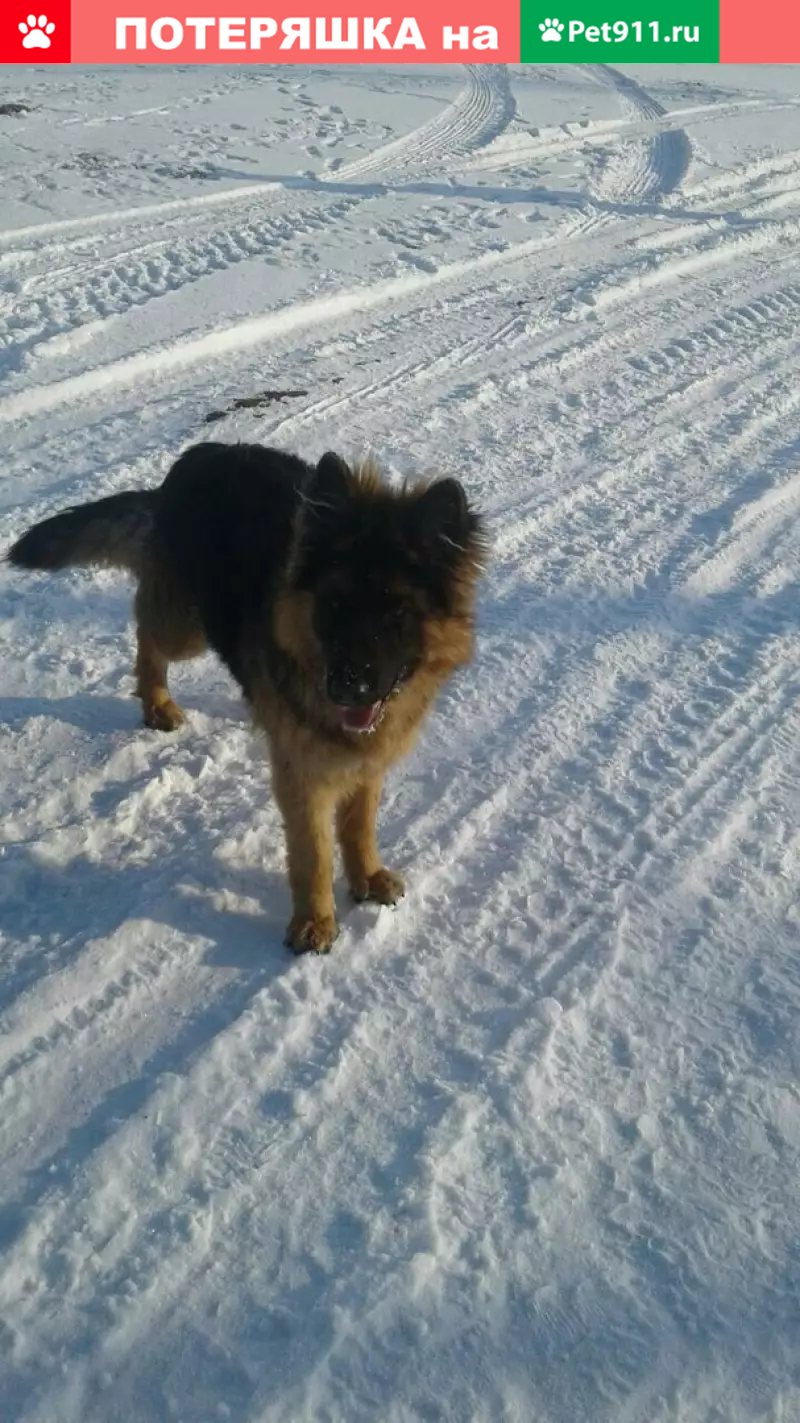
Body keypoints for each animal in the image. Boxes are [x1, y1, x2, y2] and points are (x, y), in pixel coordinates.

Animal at [7, 442, 488, 953]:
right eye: (334, 605)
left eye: (397, 613)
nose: (344, 688)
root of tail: (197, 456)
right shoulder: (302, 775)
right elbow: (312, 852)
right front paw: (314, 921)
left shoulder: (367, 756)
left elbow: (359, 824)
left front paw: (367, 876)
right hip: (185, 628)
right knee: (146, 632)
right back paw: (155, 702)